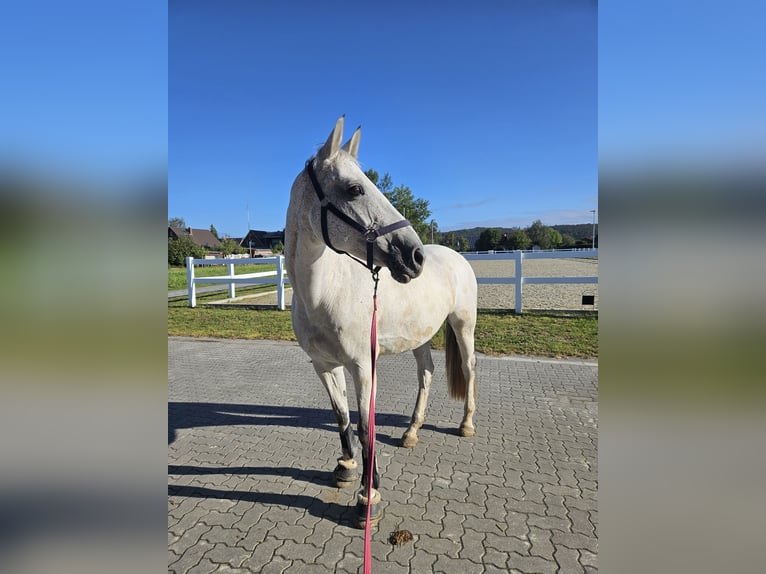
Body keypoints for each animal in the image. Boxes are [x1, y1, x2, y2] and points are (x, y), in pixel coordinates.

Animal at [286, 118, 480, 532]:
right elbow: (341, 416)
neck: (325, 292)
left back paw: (466, 424)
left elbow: (365, 426)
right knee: (426, 373)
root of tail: (453, 255)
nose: (415, 255)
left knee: (470, 368)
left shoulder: (362, 366)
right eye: (355, 188)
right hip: (421, 336)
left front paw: (368, 496)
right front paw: (345, 468)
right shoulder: (324, 366)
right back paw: (411, 432)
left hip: (462, 325)